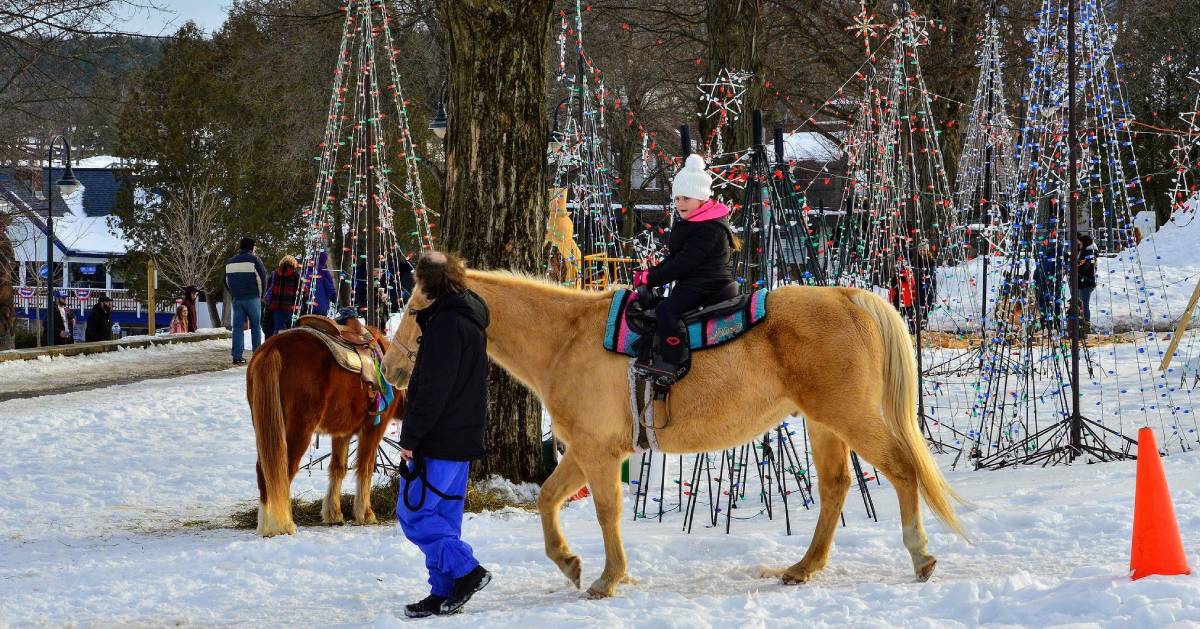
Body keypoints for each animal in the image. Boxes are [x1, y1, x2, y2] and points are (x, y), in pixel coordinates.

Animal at [247, 326, 403, 537]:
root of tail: (273, 348)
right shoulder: (373, 429)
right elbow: (365, 467)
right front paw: (365, 513)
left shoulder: (342, 433)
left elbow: (338, 468)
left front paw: (333, 513)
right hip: (298, 432)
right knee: (283, 470)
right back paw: (285, 524)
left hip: (265, 431)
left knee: (265, 471)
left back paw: (265, 526)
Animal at [384, 267, 964, 597]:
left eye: (415, 309)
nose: (389, 368)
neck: (564, 339)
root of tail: (848, 297)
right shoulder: (583, 450)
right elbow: (548, 498)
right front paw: (570, 564)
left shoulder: (598, 452)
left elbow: (606, 511)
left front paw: (607, 578)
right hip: (824, 425)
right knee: (836, 488)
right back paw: (803, 568)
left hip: (850, 417)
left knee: (902, 469)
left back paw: (921, 555)